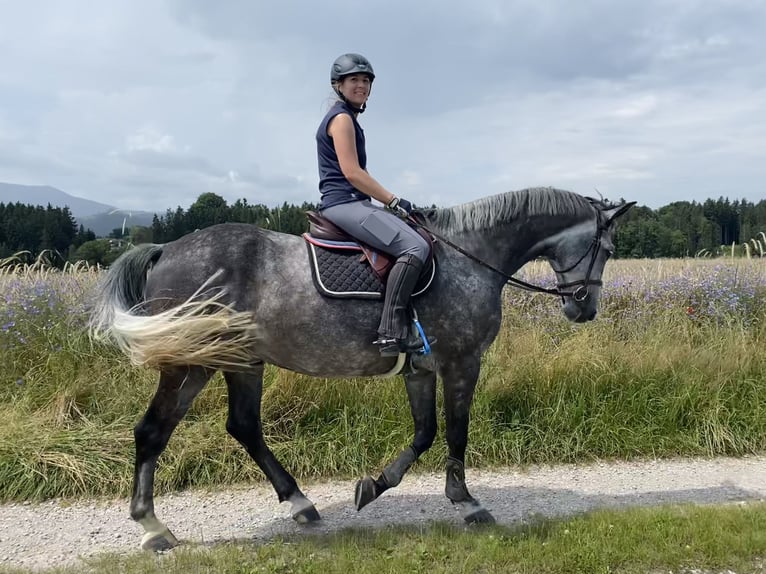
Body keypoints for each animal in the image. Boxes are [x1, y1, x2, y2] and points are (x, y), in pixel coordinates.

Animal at [88, 187, 636, 552]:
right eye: (608, 250)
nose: (584, 309)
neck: (472, 257)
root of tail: (167, 249)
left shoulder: (421, 369)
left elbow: (424, 432)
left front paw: (374, 486)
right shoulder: (462, 362)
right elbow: (456, 432)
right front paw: (468, 503)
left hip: (237, 361)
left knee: (239, 426)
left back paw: (299, 504)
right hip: (191, 360)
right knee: (154, 430)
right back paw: (153, 527)